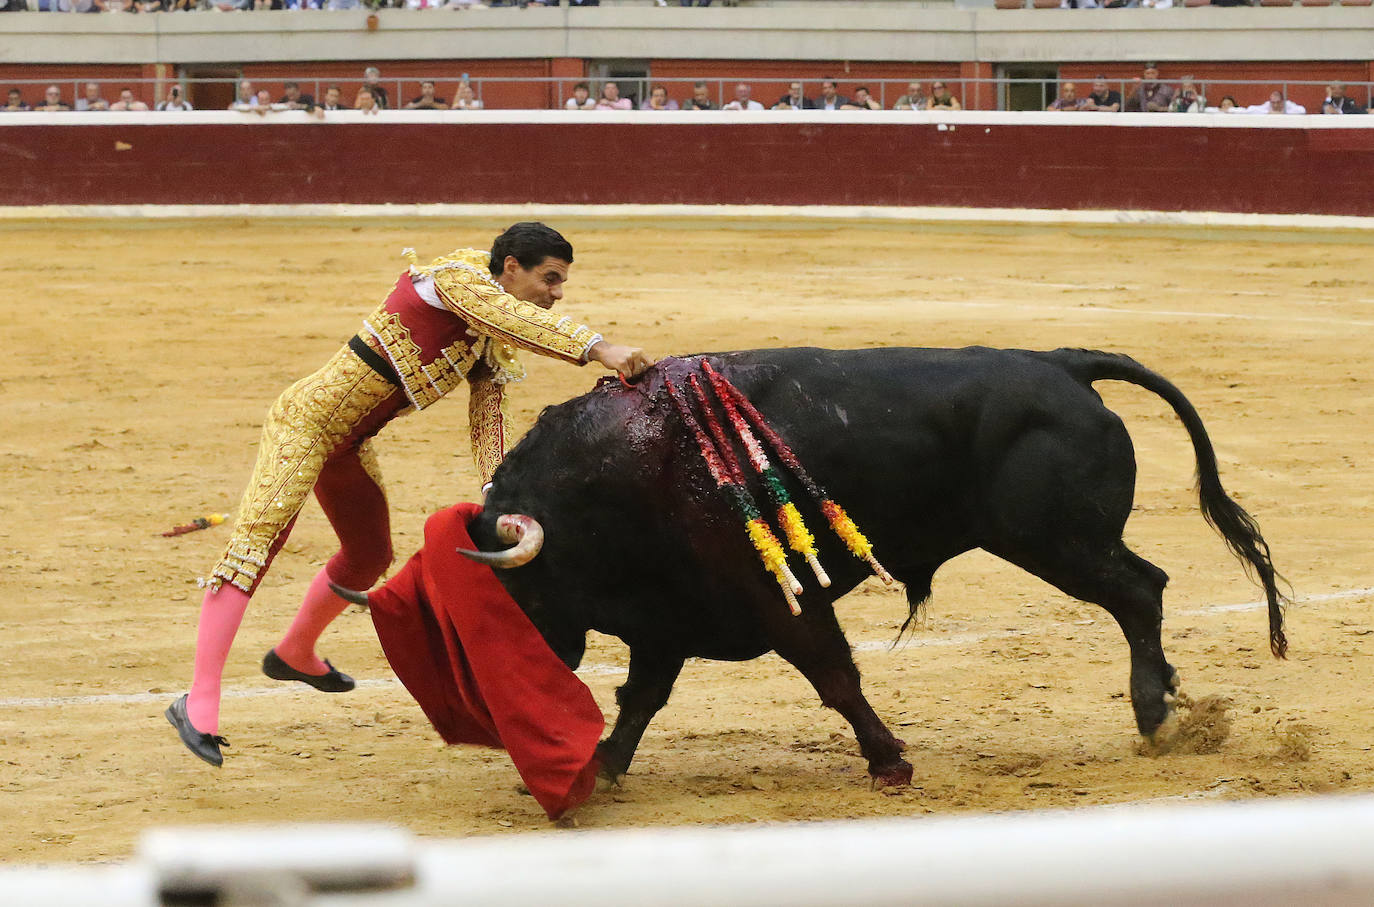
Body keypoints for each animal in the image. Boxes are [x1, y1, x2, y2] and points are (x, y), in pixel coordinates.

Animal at [467, 347, 1280, 786]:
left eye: (515, 587)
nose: (488, 691)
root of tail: (1059, 365)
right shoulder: (668, 614)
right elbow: (642, 697)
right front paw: (601, 767)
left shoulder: (777, 596)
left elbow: (833, 675)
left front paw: (890, 760)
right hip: (1064, 542)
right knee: (1145, 590)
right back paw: (1167, 699)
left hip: (1056, 541)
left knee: (1140, 591)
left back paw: (1153, 714)